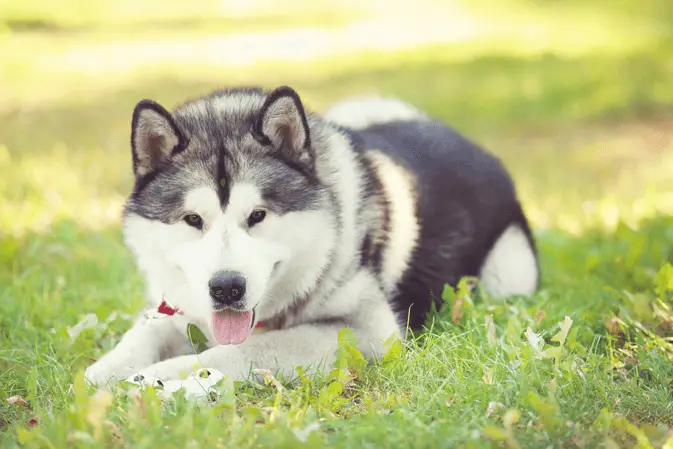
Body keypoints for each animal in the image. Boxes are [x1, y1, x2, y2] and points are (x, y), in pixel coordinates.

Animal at [84, 85, 540, 384]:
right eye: (193, 220)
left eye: (258, 215)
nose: (227, 288)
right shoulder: (177, 306)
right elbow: (143, 333)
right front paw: (102, 374)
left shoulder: (370, 333)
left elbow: (242, 348)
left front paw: (156, 376)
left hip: (509, 275)